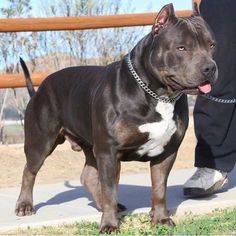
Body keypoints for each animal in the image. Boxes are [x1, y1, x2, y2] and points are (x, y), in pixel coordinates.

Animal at [15, 4, 218, 234]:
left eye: (212, 45)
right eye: (181, 48)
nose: (210, 67)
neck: (158, 94)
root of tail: (40, 88)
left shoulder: (166, 153)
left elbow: (159, 189)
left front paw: (160, 219)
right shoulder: (109, 152)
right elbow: (111, 190)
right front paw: (110, 225)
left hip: (90, 145)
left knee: (89, 176)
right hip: (41, 143)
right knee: (29, 171)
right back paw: (24, 205)